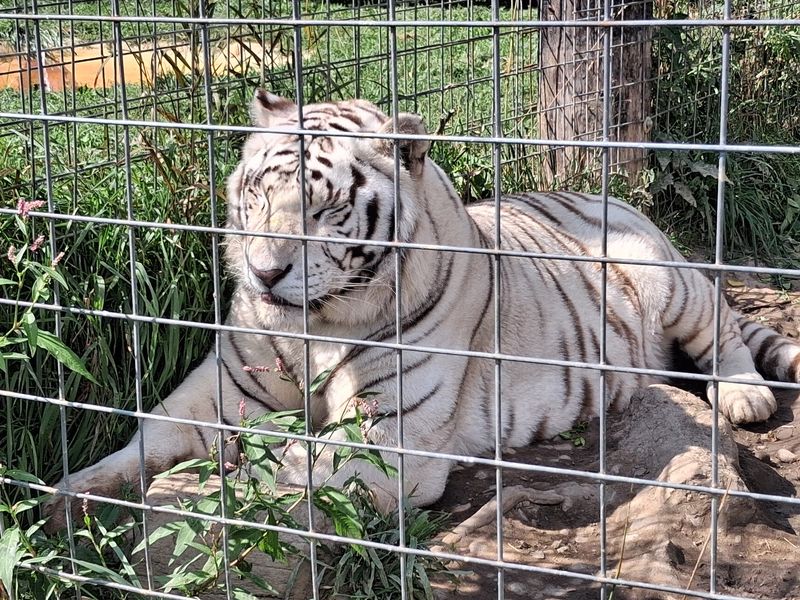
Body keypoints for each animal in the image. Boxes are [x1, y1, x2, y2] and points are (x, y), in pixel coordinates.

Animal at [45, 89, 800, 526]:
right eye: (257, 192)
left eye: (324, 210)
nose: (264, 273)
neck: (316, 328)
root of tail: (601, 192)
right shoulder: (220, 395)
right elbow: (145, 442)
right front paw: (63, 499)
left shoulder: (387, 434)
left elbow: (289, 473)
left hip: (671, 282)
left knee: (726, 331)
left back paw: (745, 397)